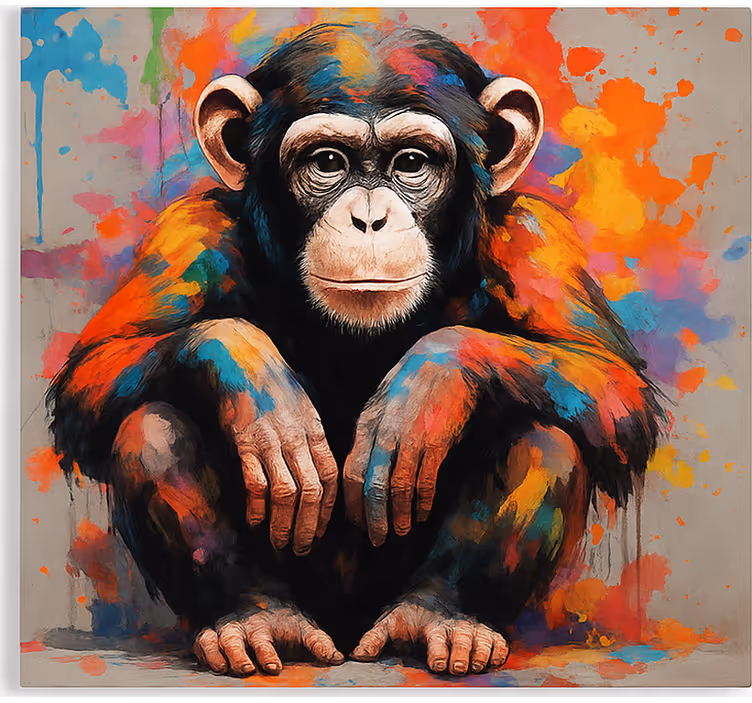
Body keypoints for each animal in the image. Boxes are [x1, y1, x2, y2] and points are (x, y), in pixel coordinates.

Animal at [47, 24, 662, 677]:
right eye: (327, 162)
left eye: (412, 162)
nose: (369, 219)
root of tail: (347, 637)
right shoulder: (188, 230)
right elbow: (96, 368)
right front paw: (252, 378)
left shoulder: (534, 234)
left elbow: (610, 382)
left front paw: (428, 383)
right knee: (151, 425)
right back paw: (255, 617)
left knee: (546, 432)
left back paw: (444, 619)